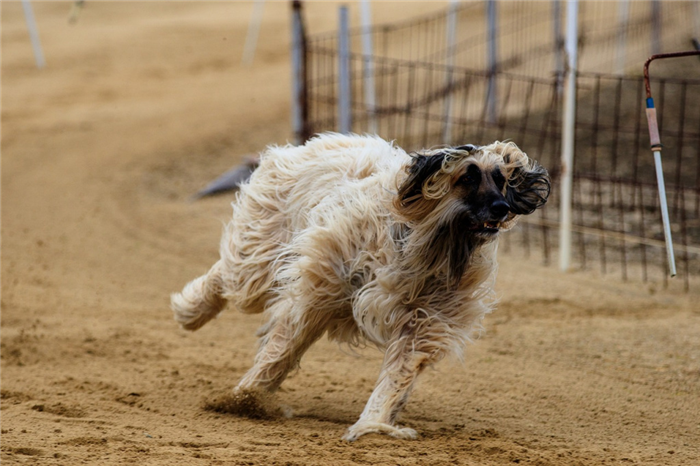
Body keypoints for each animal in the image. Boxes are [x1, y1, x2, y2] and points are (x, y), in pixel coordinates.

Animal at [172, 132, 548, 440]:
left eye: (500, 179)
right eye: (467, 177)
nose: (502, 208)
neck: (430, 244)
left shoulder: (425, 318)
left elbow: (398, 372)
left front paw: (374, 423)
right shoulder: (320, 284)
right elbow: (283, 346)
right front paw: (243, 396)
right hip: (263, 249)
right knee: (231, 275)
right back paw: (191, 310)